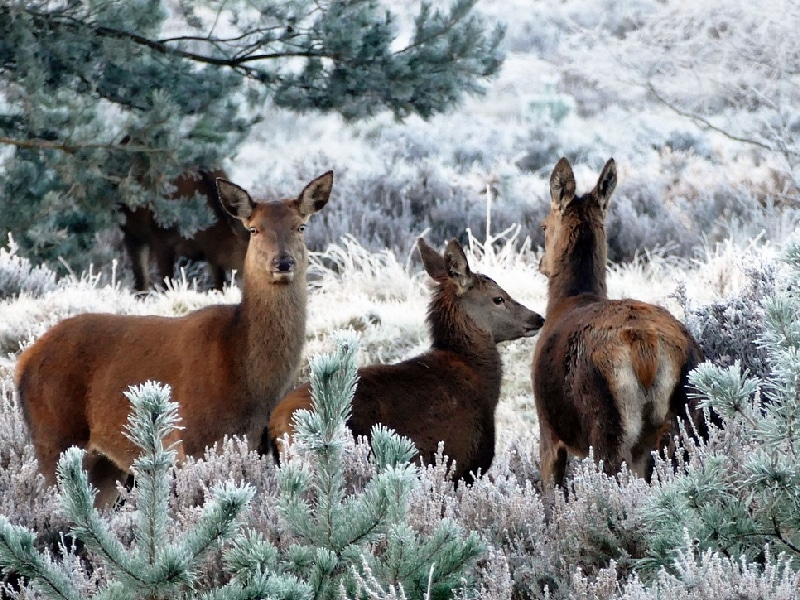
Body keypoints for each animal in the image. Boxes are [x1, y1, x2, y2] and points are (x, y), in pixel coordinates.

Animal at [15, 170, 334, 506]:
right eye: (255, 229)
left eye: (300, 226)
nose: (282, 262)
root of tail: (23, 362)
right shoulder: (192, 440)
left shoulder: (258, 446)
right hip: (54, 436)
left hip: (104, 464)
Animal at [532, 161, 708, 492]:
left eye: (544, 226)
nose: (541, 265)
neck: (567, 301)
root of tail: (646, 347)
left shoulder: (547, 428)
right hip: (689, 413)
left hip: (607, 421)